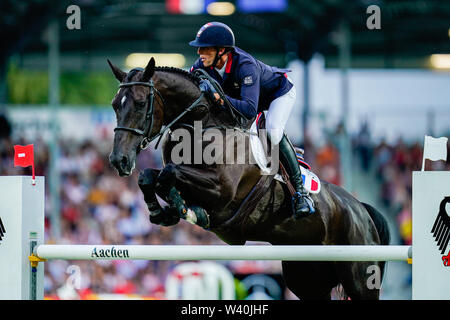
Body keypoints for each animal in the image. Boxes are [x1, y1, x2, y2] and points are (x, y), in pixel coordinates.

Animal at [106, 57, 390, 300]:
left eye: (140, 103)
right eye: (114, 105)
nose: (119, 160)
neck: (202, 123)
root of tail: (361, 210)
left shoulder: (222, 192)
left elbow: (170, 174)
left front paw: (187, 211)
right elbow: (150, 176)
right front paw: (164, 211)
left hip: (360, 277)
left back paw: (302, 202)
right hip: (306, 276)